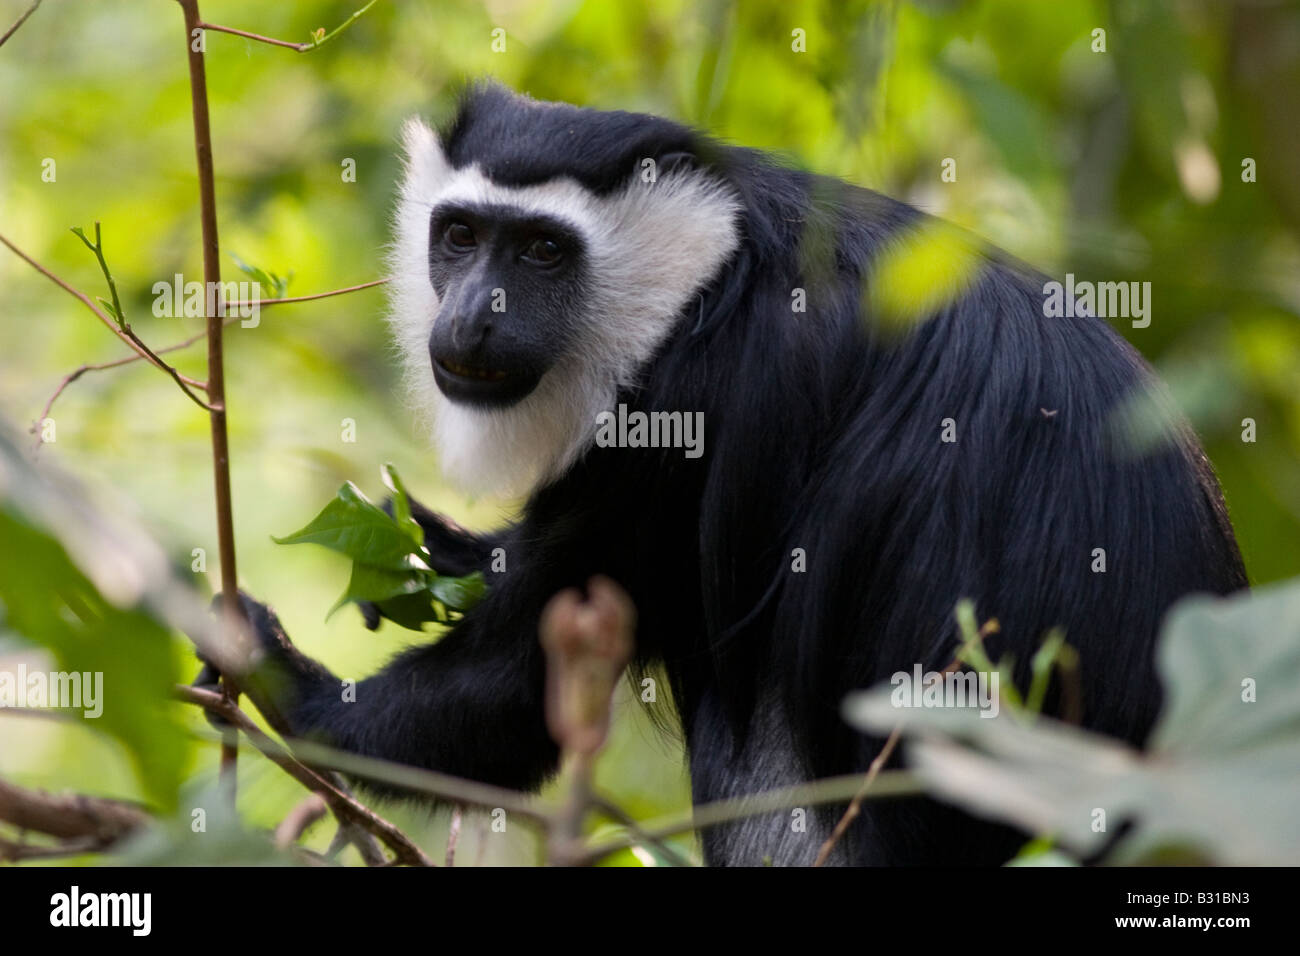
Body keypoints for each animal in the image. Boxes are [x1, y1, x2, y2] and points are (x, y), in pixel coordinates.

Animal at [215, 82, 1248, 868]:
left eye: (543, 250)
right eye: (460, 237)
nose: (471, 316)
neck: (717, 264)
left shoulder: (697, 399)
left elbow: (508, 687)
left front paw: (277, 671)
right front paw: (435, 549)